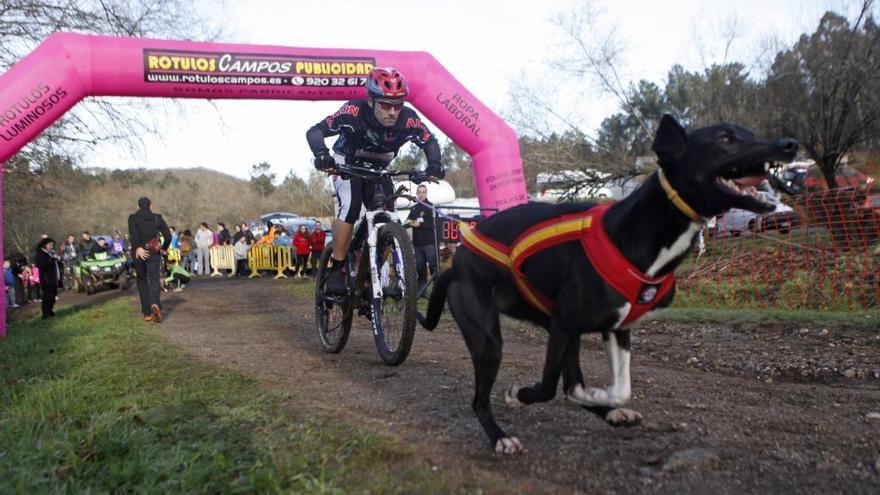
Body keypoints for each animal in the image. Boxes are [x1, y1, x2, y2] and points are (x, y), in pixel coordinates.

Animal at [420, 115, 796, 454]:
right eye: (725, 139)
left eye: (750, 133)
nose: (788, 144)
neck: (634, 233)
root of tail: (456, 262)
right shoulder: (566, 323)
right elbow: (551, 387)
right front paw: (522, 396)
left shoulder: (613, 327)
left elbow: (615, 388)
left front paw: (600, 399)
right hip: (491, 341)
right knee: (481, 400)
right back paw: (500, 437)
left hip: (555, 329)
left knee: (570, 380)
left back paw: (605, 411)